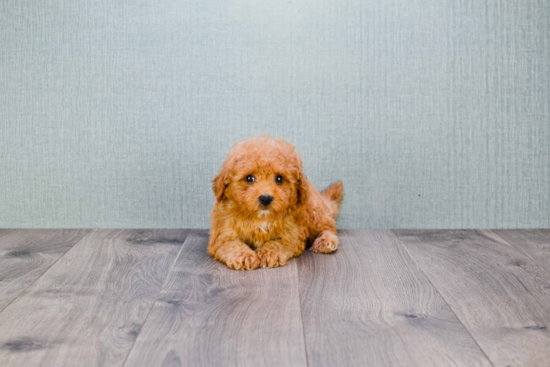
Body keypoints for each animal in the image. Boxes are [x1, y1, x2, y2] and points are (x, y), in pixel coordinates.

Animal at [208, 135, 342, 270]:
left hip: (314, 212)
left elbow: (277, 243)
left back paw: (326, 241)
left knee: (328, 226)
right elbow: (231, 244)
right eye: (249, 178)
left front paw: (267, 254)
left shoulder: (291, 234)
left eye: (279, 178)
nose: (265, 198)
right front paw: (245, 257)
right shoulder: (223, 233)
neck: (260, 218)